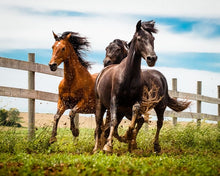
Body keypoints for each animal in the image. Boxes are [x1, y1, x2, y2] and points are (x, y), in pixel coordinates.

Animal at [93, 20, 158, 153]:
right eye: (139, 39)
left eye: (153, 39)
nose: (152, 58)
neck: (129, 75)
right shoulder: (114, 100)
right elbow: (112, 122)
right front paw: (108, 146)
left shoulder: (135, 102)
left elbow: (136, 114)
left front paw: (128, 136)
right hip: (100, 104)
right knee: (98, 125)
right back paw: (96, 148)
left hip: (122, 111)